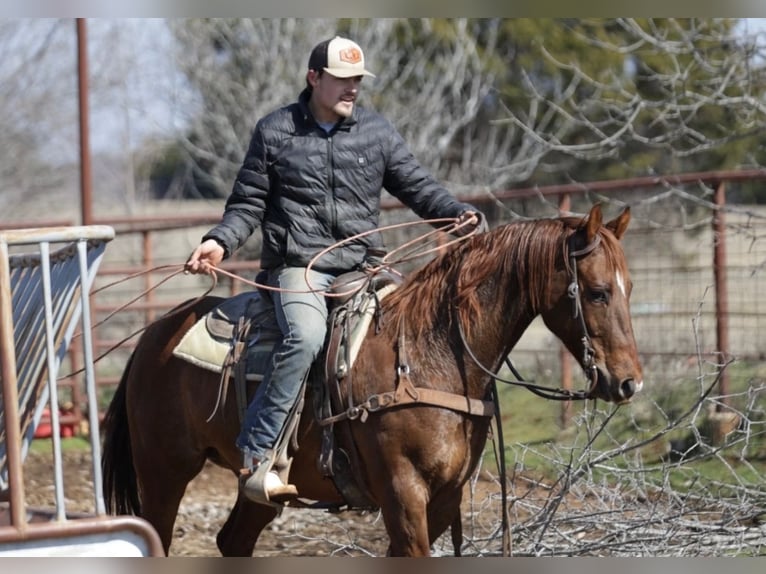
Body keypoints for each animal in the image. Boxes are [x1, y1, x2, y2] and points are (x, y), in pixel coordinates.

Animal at [100, 204, 640, 560]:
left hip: (257, 492)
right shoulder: (403, 496)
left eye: (629, 287)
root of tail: (156, 333)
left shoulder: (444, 501)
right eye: (596, 291)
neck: (427, 357)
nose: (629, 383)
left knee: (234, 540)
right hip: (163, 472)